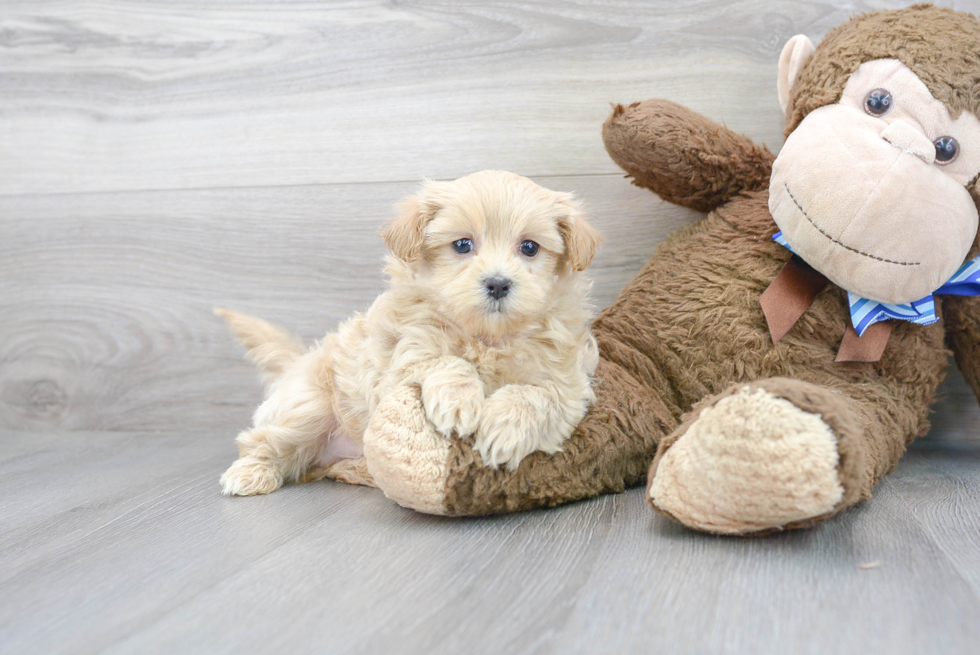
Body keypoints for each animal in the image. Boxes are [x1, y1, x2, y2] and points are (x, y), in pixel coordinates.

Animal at [218, 170, 600, 498]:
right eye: (463, 245)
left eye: (530, 247)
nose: (497, 283)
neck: (486, 337)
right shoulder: (400, 358)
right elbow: (444, 361)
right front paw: (459, 402)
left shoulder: (568, 385)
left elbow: (536, 395)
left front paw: (504, 430)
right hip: (310, 406)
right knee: (264, 441)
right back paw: (251, 473)